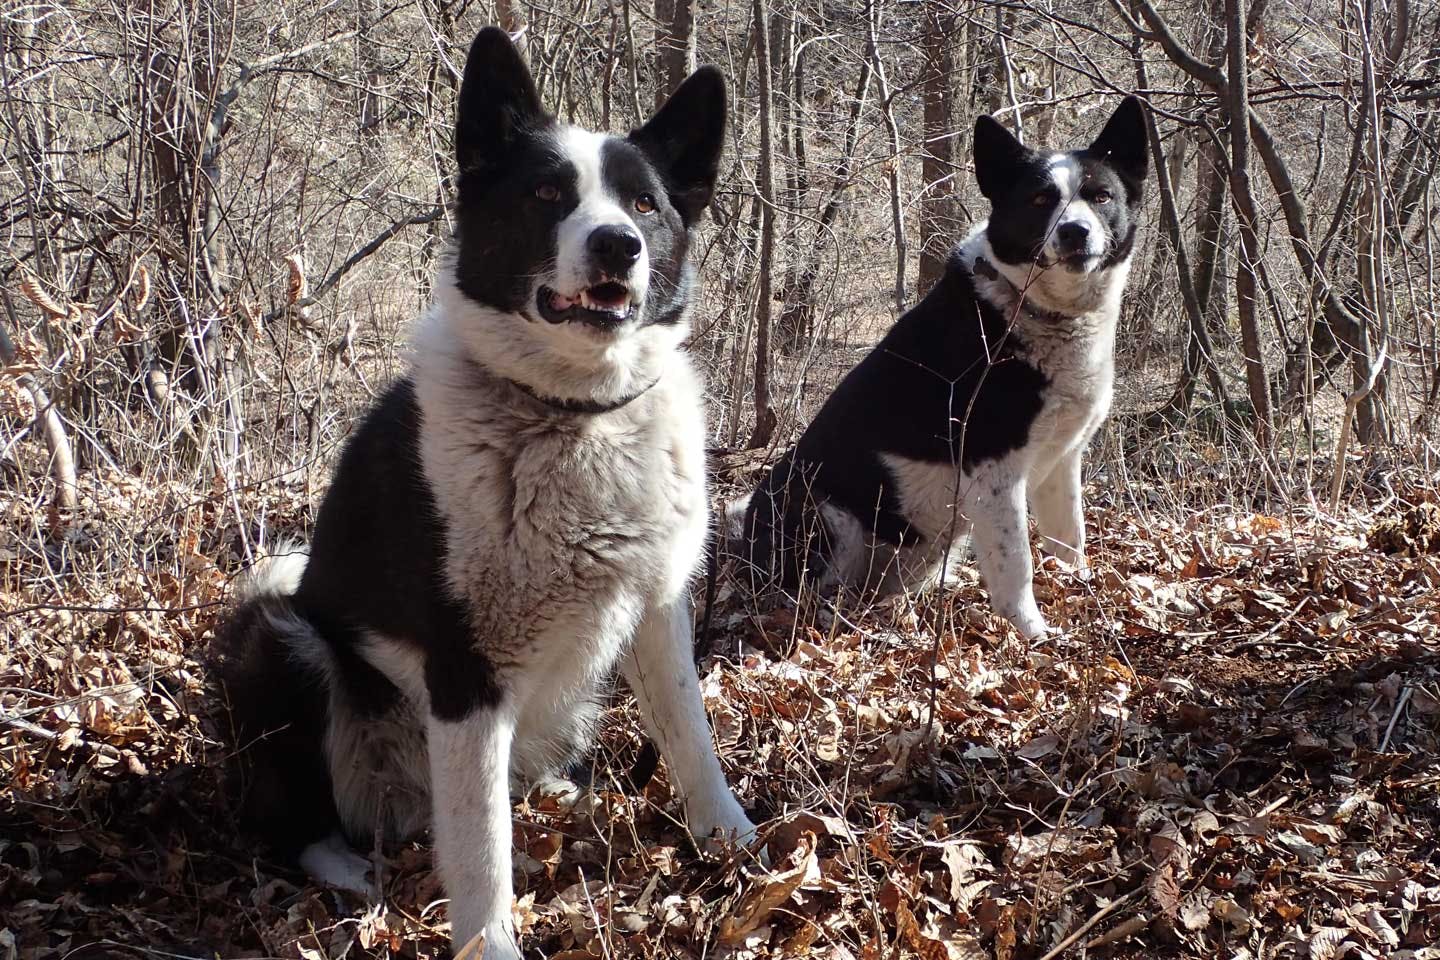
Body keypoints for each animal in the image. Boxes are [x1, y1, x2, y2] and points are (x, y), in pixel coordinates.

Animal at [216, 26, 754, 955]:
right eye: (546, 192)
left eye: (644, 204)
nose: (618, 244)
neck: (572, 417)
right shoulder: (463, 672)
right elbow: (481, 847)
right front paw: (489, 941)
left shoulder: (658, 611)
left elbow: (692, 737)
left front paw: (734, 841)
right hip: (282, 638)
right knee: (296, 822)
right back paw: (353, 872)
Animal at [737, 99, 1152, 639]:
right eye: (1041, 199)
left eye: (1101, 196)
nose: (1075, 231)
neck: (1033, 309)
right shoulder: (996, 473)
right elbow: (1016, 561)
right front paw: (1031, 634)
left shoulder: (1062, 461)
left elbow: (1069, 538)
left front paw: (1079, 590)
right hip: (828, 518)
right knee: (810, 594)